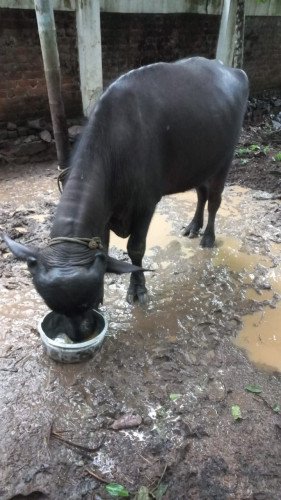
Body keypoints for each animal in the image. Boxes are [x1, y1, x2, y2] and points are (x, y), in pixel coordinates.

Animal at [2, 57, 247, 340]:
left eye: (85, 303)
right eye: (53, 306)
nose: (79, 335)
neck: (115, 149)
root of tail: (234, 71)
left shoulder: (146, 205)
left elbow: (135, 249)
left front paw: (138, 289)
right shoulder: (105, 214)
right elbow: (105, 248)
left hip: (224, 161)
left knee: (215, 200)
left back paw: (208, 236)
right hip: (198, 165)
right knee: (201, 194)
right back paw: (193, 227)